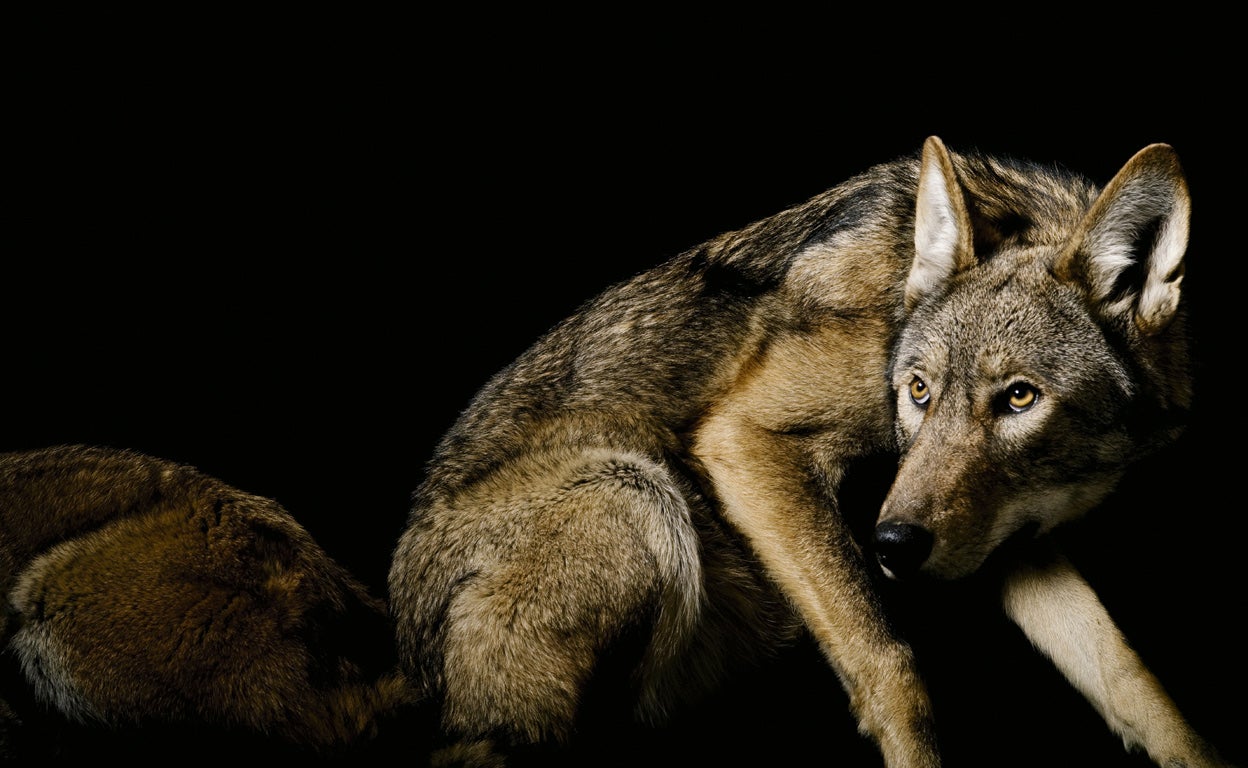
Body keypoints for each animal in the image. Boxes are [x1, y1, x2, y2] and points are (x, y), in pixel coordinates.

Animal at [388, 136, 1229, 766]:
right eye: (917, 392)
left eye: (1019, 398)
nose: (892, 546)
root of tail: (409, 660)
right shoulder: (744, 441)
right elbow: (891, 665)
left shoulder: (1012, 541)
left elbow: (1131, 681)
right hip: (638, 497)